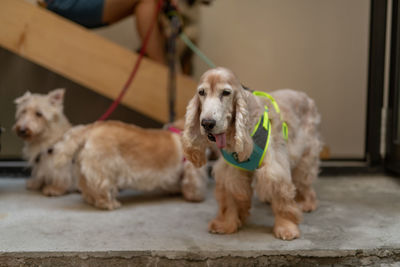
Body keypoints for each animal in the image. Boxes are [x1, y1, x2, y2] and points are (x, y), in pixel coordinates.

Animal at [182, 67, 322, 241]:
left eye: (226, 93)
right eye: (201, 92)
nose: (207, 123)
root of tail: (307, 97)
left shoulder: (275, 169)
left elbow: (282, 199)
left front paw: (286, 228)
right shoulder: (231, 171)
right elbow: (230, 199)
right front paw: (225, 224)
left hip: (307, 153)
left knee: (305, 180)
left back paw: (307, 203)